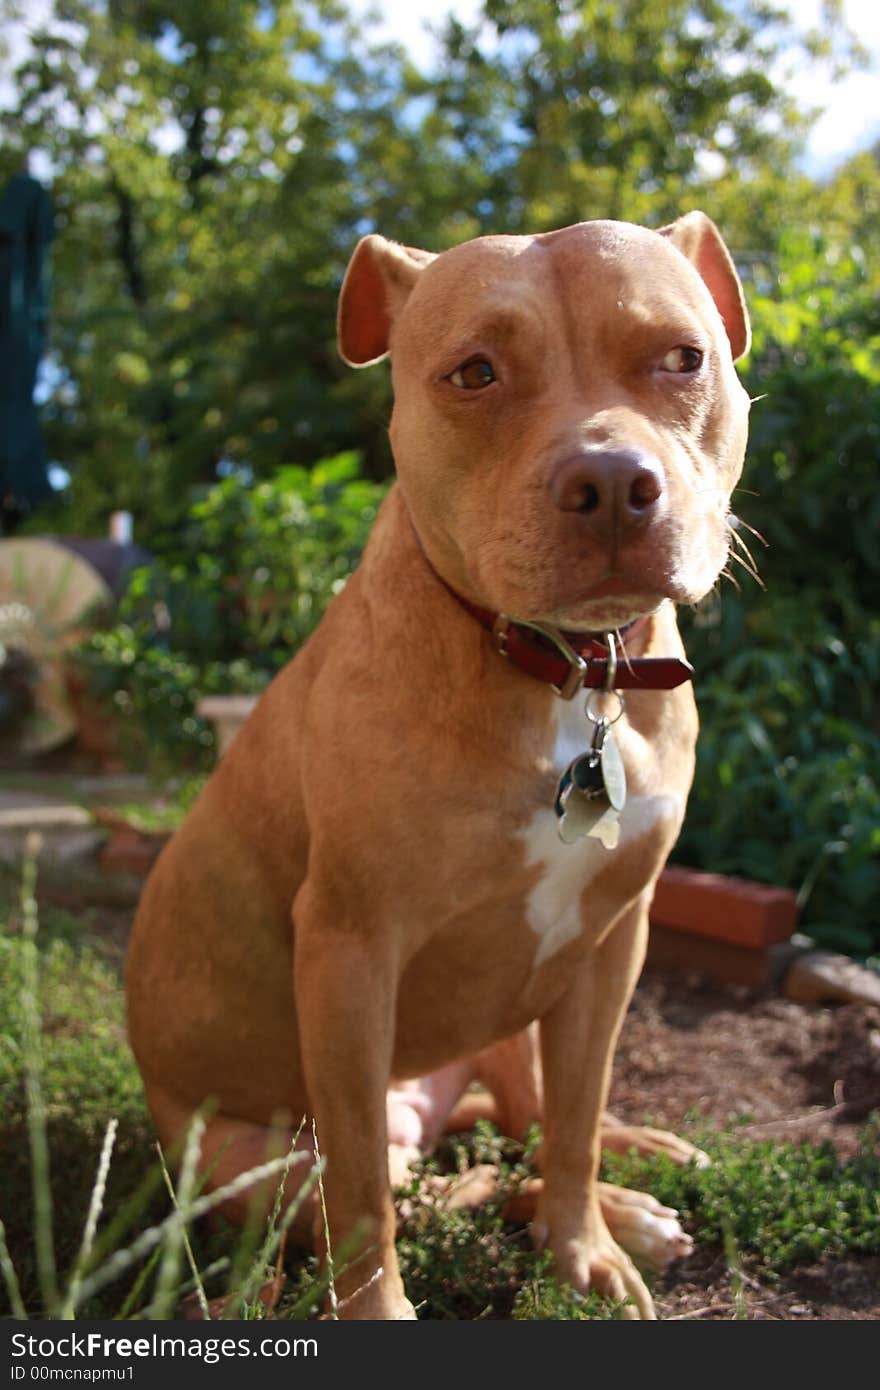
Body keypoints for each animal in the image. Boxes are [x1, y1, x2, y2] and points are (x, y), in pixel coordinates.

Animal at [127, 211, 750, 1317]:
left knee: (530, 1127)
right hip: (257, 1162)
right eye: (474, 373)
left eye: (683, 357)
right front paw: (381, 1308)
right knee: (418, 1183)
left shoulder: (612, 941)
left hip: (521, 999)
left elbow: (575, 1118)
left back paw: (628, 1177)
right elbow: (364, 1193)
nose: (611, 484)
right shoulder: (348, 955)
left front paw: (584, 1243)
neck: (564, 672)